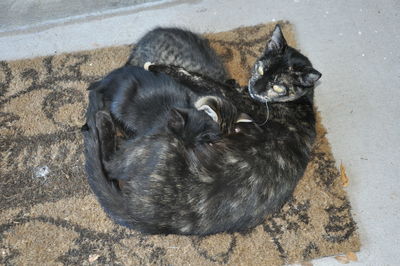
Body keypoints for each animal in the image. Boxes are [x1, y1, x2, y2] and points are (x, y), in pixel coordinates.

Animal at [84, 23, 322, 234]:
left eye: (278, 86)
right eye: (262, 69)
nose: (256, 87)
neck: (301, 102)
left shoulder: (242, 101)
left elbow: (203, 80)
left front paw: (159, 67)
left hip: (163, 140)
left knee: (108, 162)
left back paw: (102, 119)